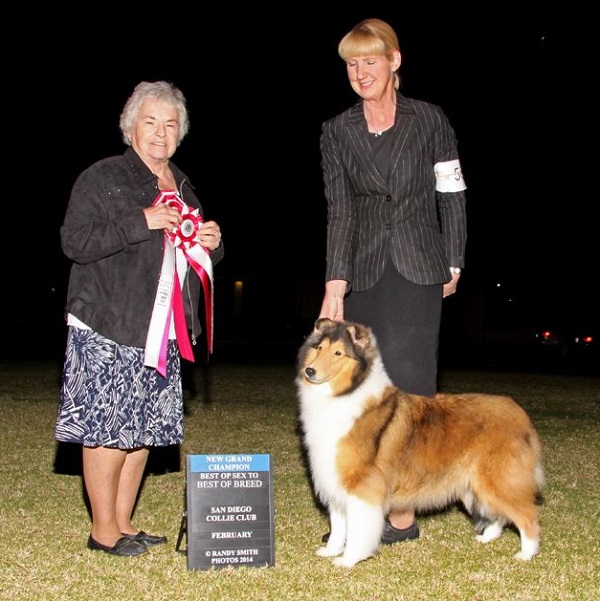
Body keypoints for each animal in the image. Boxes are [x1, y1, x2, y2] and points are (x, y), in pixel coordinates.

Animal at [296, 318, 544, 568]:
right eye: (319, 348)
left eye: (338, 353)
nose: (310, 371)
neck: (344, 393)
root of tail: (518, 412)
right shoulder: (334, 479)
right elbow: (339, 525)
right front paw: (331, 551)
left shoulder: (361, 485)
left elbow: (358, 529)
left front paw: (349, 559)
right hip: (477, 484)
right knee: (499, 515)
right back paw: (487, 538)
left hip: (498, 481)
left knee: (527, 516)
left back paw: (526, 553)